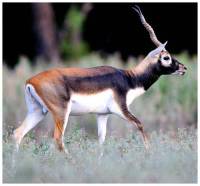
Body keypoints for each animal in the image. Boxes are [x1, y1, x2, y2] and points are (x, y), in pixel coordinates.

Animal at [13, 5, 187, 152]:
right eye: (166, 57)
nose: (183, 68)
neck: (129, 79)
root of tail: (31, 81)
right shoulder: (121, 109)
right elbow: (140, 125)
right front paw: (148, 153)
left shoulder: (102, 114)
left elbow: (101, 140)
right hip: (61, 113)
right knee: (58, 139)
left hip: (37, 111)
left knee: (17, 133)